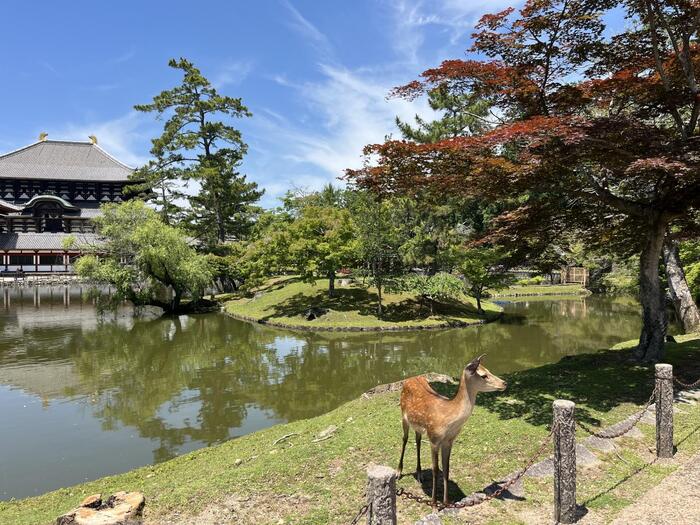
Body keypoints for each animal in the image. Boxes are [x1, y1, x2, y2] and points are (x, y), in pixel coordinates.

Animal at [397, 354, 507, 505]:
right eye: (484, 375)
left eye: (489, 370)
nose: (504, 383)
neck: (449, 420)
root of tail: (409, 379)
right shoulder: (434, 438)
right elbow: (435, 470)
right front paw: (434, 503)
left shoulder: (449, 440)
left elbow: (446, 468)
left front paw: (446, 503)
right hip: (403, 416)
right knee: (404, 439)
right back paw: (398, 472)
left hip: (418, 426)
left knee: (417, 440)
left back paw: (419, 474)